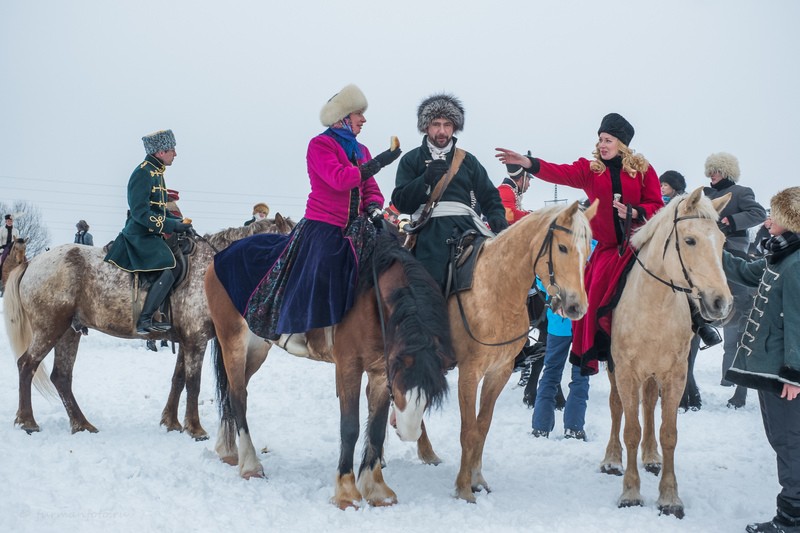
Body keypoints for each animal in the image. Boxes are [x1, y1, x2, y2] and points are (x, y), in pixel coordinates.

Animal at [206, 229, 456, 508]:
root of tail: (218, 258)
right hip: (233, 342)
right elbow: (350, 428)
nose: (410, 432)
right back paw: (250, 464)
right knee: (238, 397)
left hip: (257, 349)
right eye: (401, 381)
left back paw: (228, 451)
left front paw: (377, 490)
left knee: (230, 393)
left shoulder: (380, 373)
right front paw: (347, 493)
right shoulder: (349, 366)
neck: (373, 300)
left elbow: (376, 430)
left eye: (432, 390)